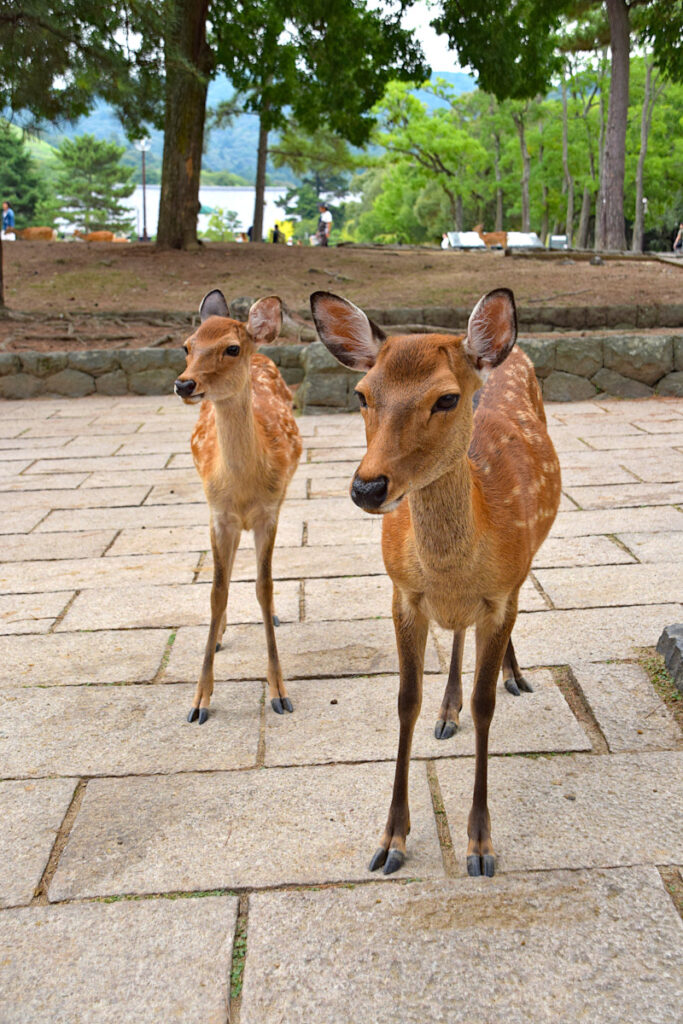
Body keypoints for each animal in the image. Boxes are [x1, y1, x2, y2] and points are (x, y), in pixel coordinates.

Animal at [174, 289, 302, 723]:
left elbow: (264, 586)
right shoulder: (218, 516)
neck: (244, 489)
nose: (184, 383)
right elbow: (216, 590)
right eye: (187, 345)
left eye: (231, 348)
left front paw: (279, 692)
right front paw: (199, 700)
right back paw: (218, 634)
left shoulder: (269, 512)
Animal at [310, 287, 561, 877]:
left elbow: (486, 703)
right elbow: (406, 700)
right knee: (457, 635)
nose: (368, 487)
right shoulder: (404, 594)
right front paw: (391, 839)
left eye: (446, 399)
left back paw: (515, 676)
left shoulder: (499, 595)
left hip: (527, 564)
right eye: (361, 393)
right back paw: (448, 711)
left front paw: (480, 844)